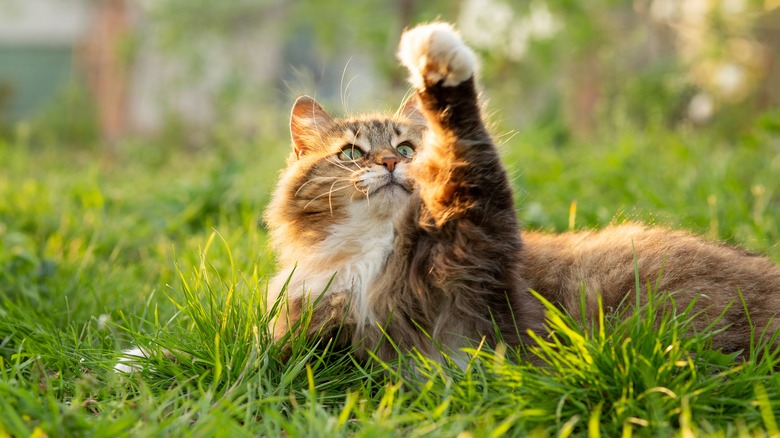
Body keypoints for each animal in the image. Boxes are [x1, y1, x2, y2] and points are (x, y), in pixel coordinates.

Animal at [264, 21, 780, 362]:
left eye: (407, 148)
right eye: (352, 153)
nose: (390, 163)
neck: (376, 252)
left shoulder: (482, 246)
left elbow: (468, 143)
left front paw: (438, 59)